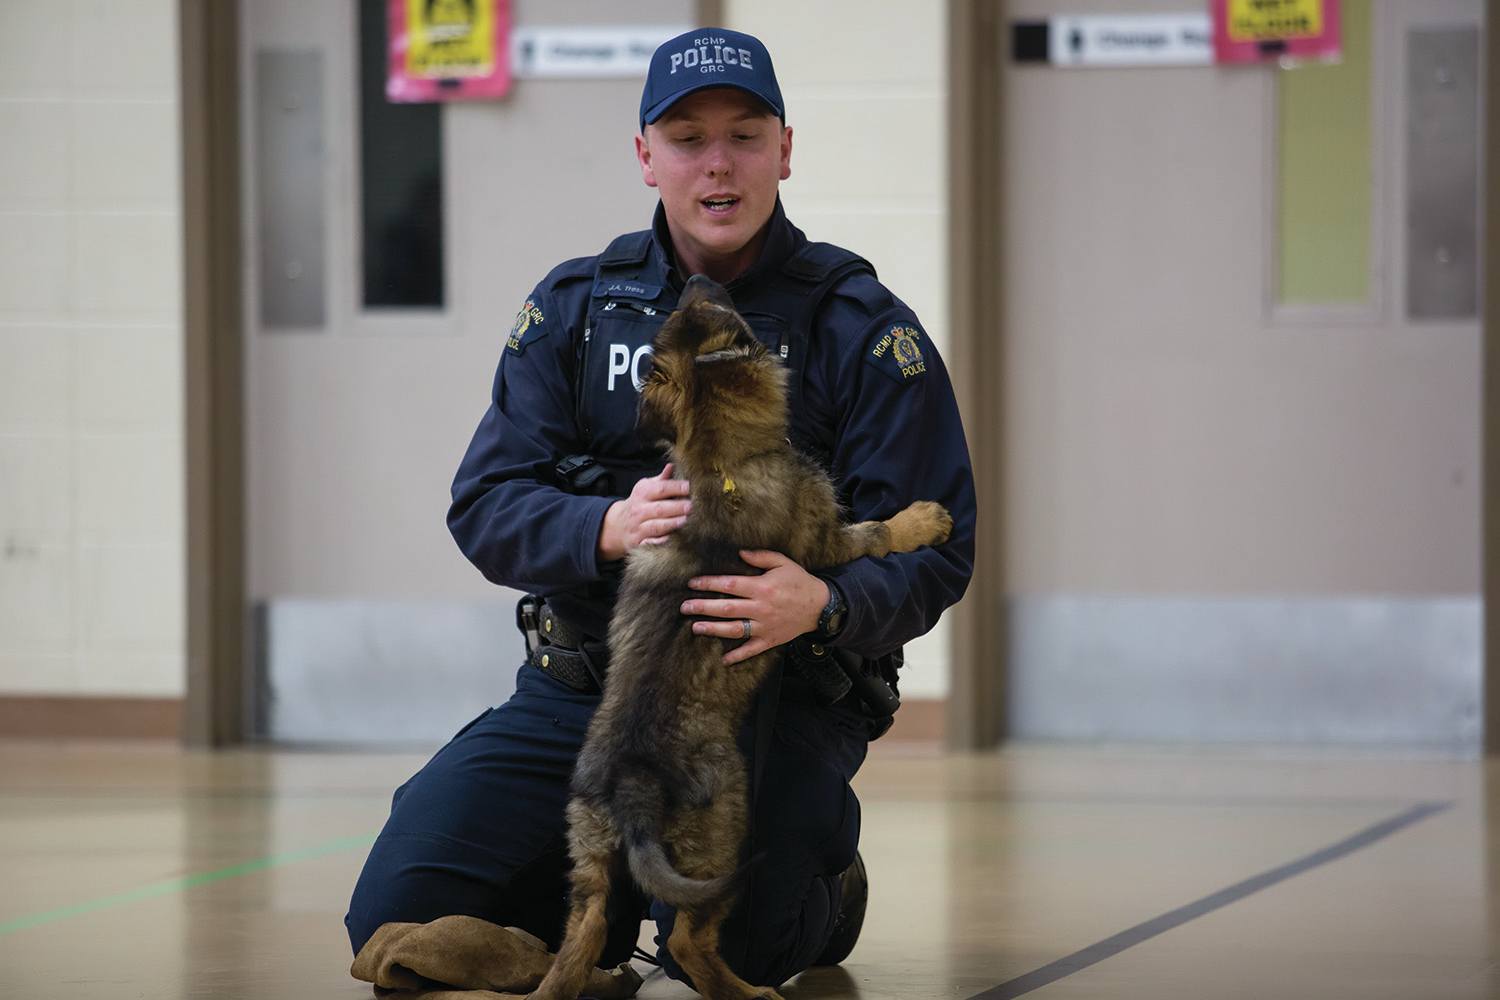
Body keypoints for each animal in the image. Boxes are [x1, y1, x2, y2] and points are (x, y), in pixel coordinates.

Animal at [531, 275, 948, 1000]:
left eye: (691, 312)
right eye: (721, 314)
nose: (701, 277)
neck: (717, 457)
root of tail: (632, 791)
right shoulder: (825, 540)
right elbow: (876, 532)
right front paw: (924, 518)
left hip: (586, 849)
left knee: (582, 933)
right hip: (722, 826)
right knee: (690, 942)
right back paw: (751, 990)